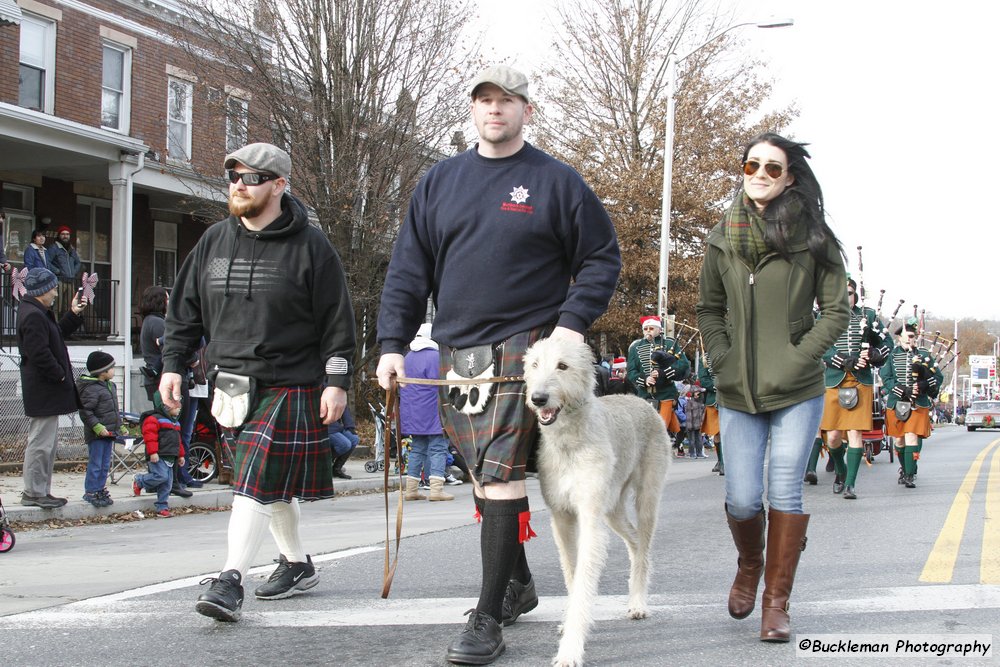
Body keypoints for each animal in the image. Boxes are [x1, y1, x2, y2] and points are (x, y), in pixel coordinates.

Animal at [524, 340, 672, 667]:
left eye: (563, 366)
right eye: (534, 365)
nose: (538, 398)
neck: (568, 440)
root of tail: (641, 400)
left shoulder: (589, 516)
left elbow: (583, 579)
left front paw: (570, 648)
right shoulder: (562, 517)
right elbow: (571, 571)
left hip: (647, 495)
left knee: (644, 542)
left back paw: (638, 602)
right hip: (613, 508)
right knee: (634, 542)